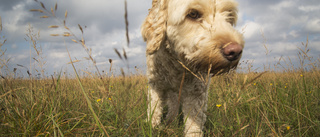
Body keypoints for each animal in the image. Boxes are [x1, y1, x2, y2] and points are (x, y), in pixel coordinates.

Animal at [141, 0, 244, 136]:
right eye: (193, 14)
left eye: (229, 16)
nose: (235, 51)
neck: (177, 64)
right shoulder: (155, 85)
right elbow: (154, 108)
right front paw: (152, 127)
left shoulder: (196, 91)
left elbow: (194, 124)